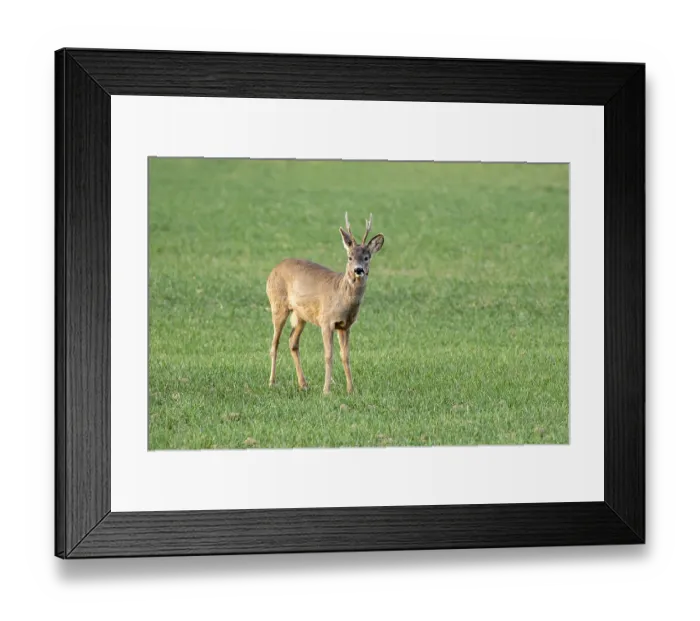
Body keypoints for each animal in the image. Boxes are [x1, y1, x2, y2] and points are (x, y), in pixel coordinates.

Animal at [266, 213, 384, 395]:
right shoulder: (326, 321)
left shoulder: (345, 325)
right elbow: (328, 355)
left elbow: (345, 356)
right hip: (278, 304)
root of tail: (273, 270)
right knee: (274, 343)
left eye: (367, 257)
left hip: (301, 315)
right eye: (350, 257)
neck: (342, 296)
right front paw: (326, 391)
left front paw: (351, 390)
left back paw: (303, 384)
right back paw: (272, 382)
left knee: (292, 342)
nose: (358, 270)